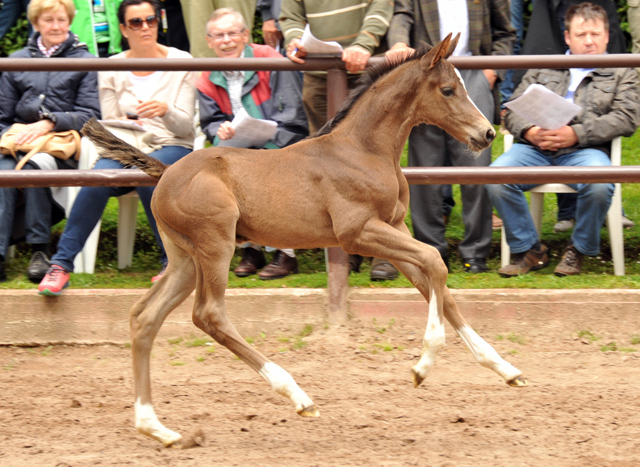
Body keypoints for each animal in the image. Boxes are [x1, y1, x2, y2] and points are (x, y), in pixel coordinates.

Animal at [82, 34, 528, 448]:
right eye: (448, 89)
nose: (487, 133)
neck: (363, 150)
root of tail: (163, 174)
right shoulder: (358, 232)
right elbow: (435, 261)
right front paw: (422, 367)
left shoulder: (394, 228)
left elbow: (437, 286)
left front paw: (507, 370)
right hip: (215, 245)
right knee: (208, 314)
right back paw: (298, 395)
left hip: (184, 260)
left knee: (145, 317)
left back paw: (157, 428)